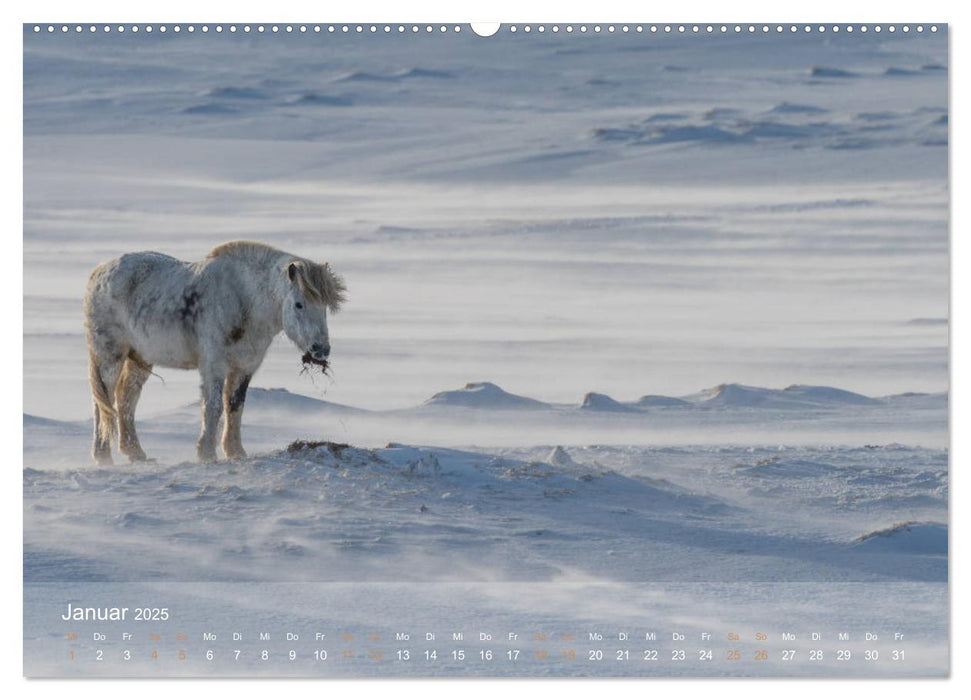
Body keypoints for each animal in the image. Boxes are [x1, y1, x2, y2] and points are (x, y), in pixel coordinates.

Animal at [83, 241, 348, 464]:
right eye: (299, 304)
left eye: (324, 307)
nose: (321, 350)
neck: (245, 299)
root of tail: (98, 273)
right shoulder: (214, 364)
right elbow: (213, 406)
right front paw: (207, 453)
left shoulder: (244, 366)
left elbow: (235, 406)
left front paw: (236, 452)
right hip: (109, 356)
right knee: (102, 402)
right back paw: (102, 456)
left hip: (140, 358)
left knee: (126, 400)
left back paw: (136, 453)